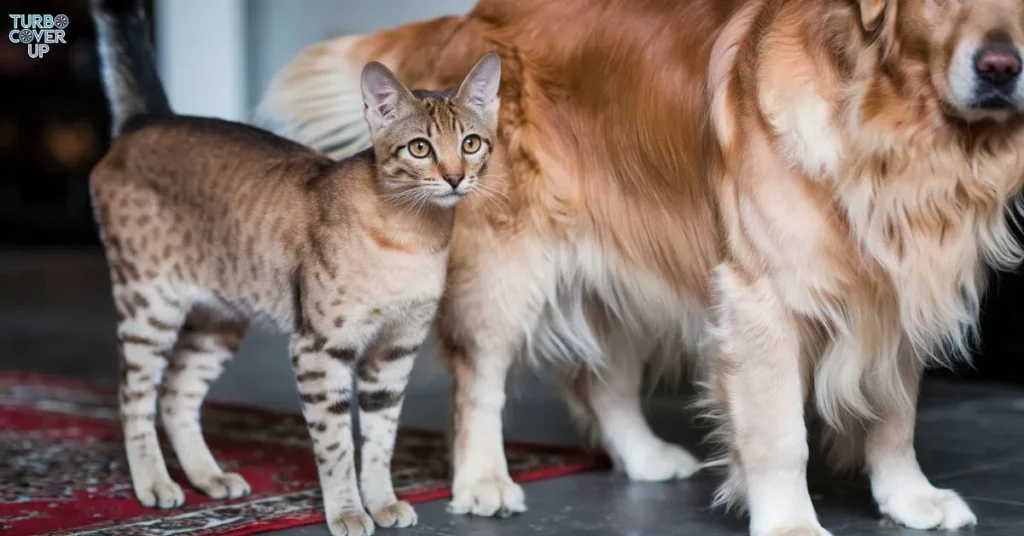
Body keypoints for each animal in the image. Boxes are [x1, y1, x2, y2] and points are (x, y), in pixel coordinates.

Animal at [258, 2, 1024, 532]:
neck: (895, 135)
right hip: (505, 269)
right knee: (479, 383)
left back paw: (646, 457)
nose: (1001, 67)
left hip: (621, 263)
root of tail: (466, 18)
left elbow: (895, 414)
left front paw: (909, 498)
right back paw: (483, 481)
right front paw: (790, 522)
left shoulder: (901, 289)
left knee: (602, 381)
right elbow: (780, 434)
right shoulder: (761, 298)